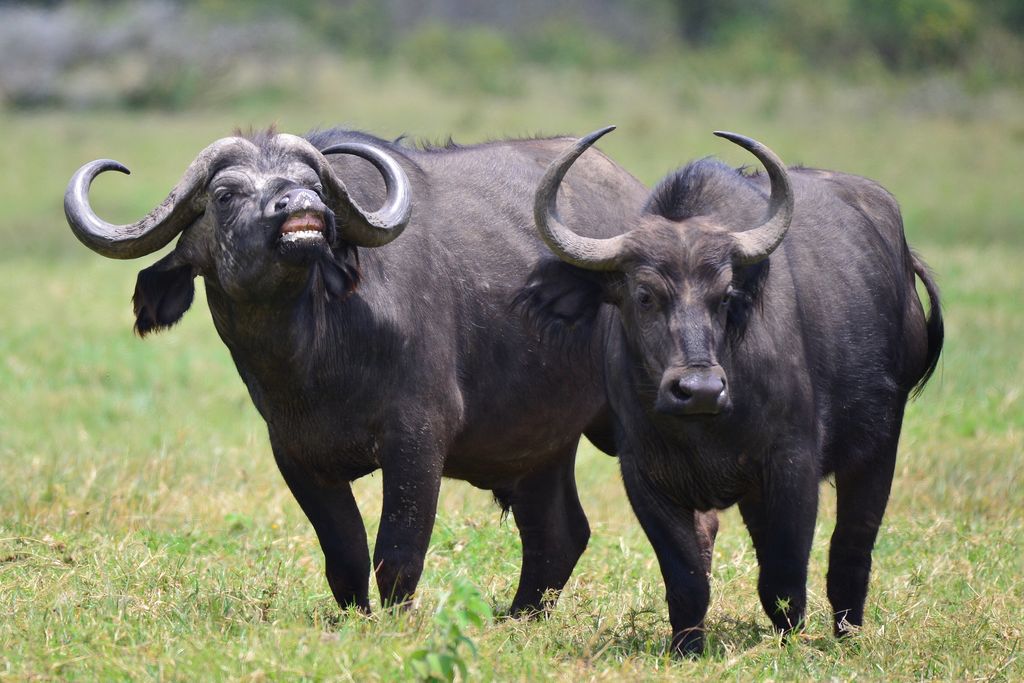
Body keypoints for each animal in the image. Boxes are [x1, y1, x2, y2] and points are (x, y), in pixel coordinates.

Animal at [64, 126, 663, 614]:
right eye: (224, 194)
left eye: (312, 182)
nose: (300, 205)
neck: (312, 362)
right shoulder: (295, 454)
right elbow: (345, 554)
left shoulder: (418, 440)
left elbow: (396, 552)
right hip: (541, 444)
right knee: (557, 534)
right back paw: (516, 619)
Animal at [524, 127, 946, 655]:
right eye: (644, 295)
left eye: (725, 296)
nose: (700, 389)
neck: (704, 428)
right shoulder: (645, 477)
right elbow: (686, 577)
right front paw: (686, 647)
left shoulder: (791, 466)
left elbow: (783, 574)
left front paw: (789, 640)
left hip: (879, 443)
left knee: (853, 542)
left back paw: (847, 632)